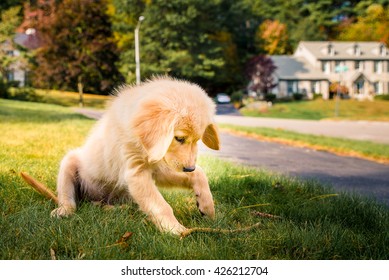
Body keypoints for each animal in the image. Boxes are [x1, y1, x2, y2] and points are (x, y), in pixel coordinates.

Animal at [52, 77, 220, 235]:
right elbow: (160, 205)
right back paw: (63, 210)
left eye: (197, 140)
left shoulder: (158, 168)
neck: (145, 146)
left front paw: (207, 206)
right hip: (69, 163)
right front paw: (176, 229)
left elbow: (199, 174)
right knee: (67, 198)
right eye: (179, 138)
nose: (189, 168)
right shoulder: (136, 172)